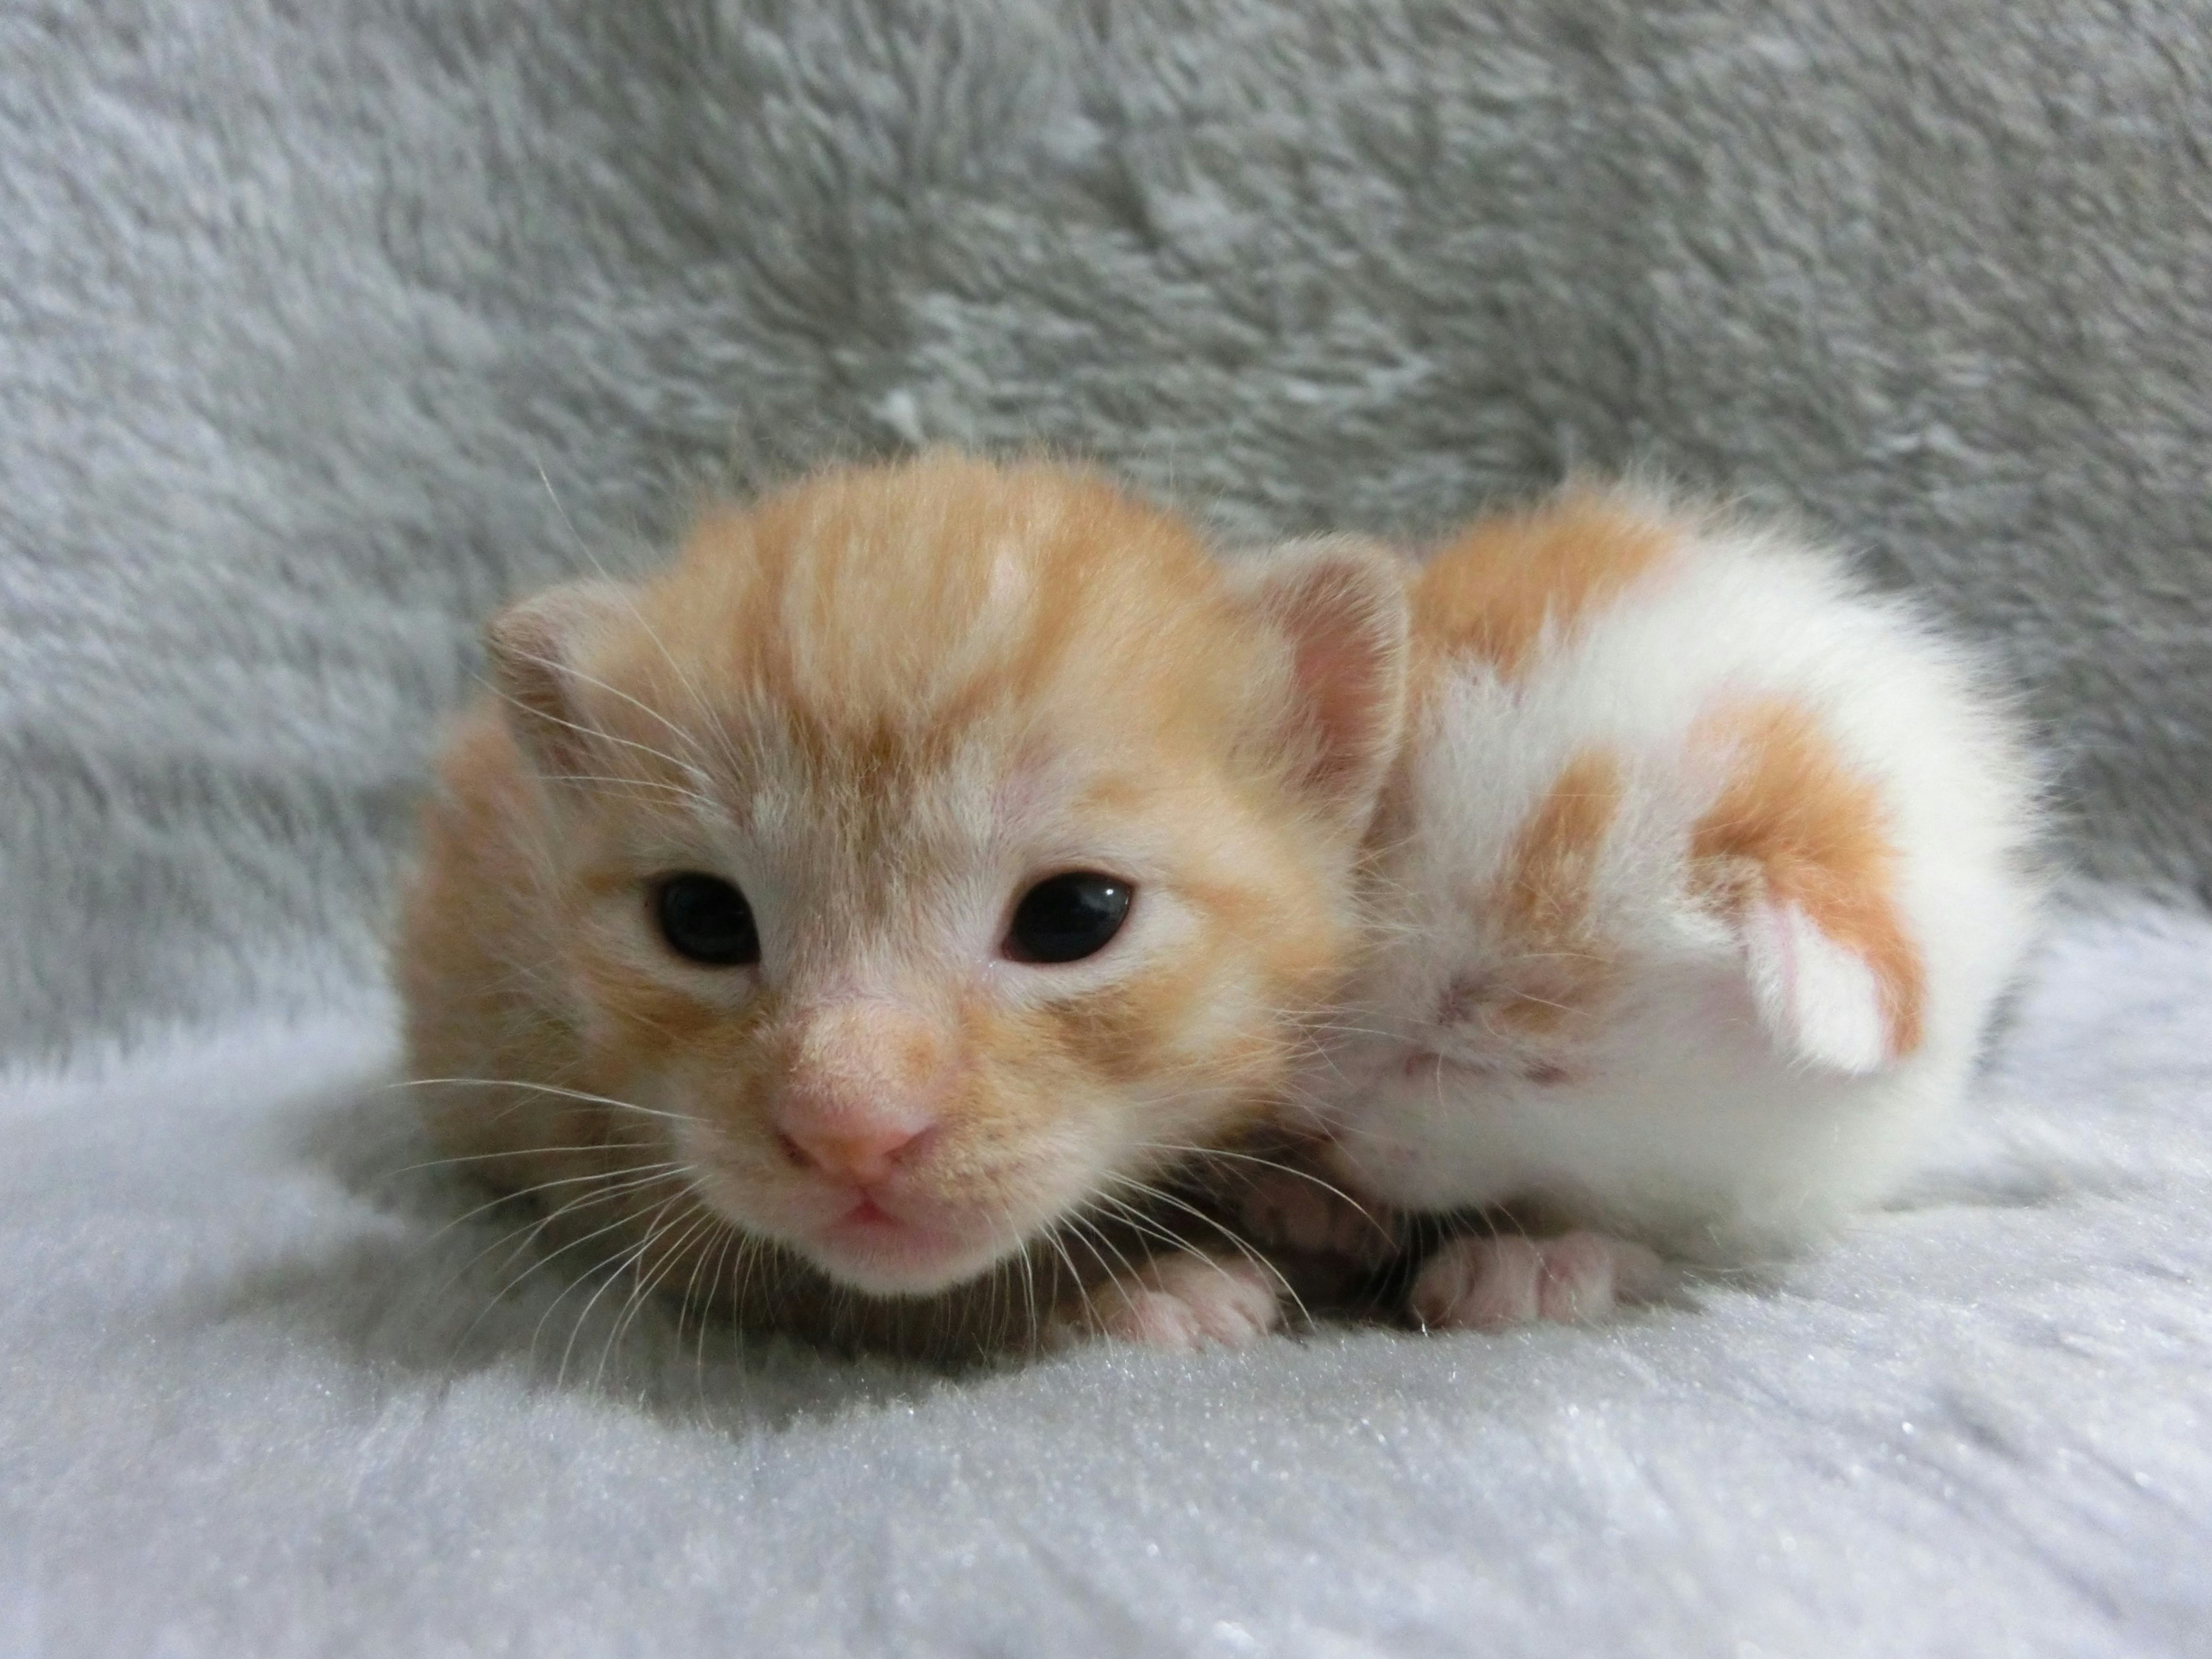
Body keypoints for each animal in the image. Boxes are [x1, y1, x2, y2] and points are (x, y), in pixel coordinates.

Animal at [396, 456, 1397, 1362]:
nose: (849, 1130)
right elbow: (903, 1298)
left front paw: (1302, 1197)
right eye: (701, 919)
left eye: (1074, 915)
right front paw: (1140, 1284)